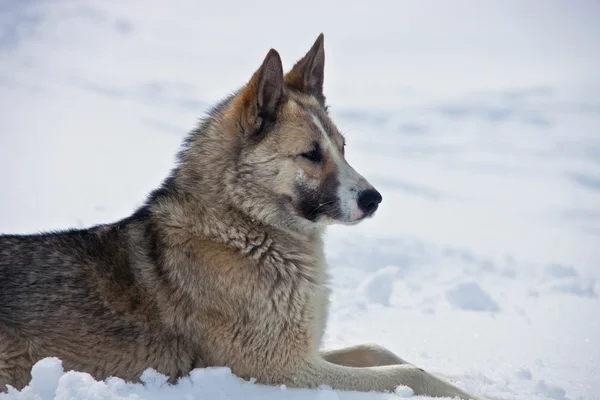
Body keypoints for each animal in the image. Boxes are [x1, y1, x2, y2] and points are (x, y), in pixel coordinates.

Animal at [0, 35, 482, 400]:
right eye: (311, 154)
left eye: (344, 147)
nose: (375, 198)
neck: (245, 229)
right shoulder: (280, 370)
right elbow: (405, 373)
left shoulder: (306, 352)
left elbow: (382, 350)